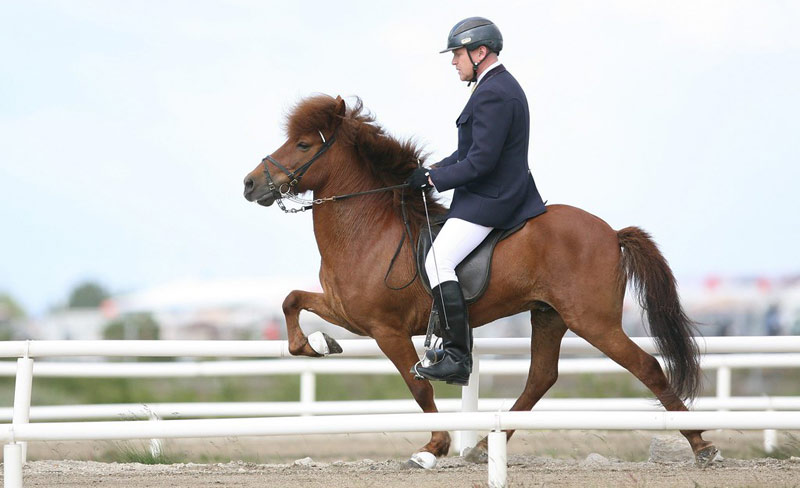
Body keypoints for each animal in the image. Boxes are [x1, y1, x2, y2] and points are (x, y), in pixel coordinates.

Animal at [242, 94, 719, 467]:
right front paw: (317, 344)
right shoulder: (348, 311)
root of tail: (612, 232)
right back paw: (488, 447)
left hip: (593, 321)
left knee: (647, 367)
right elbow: (291, 300)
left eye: (304, 144)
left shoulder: (386, 329)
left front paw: (433, 448)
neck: (368, 228)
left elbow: (418, 386)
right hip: (549, 316)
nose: (249, 184)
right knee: (541, 378)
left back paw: (701, 445)